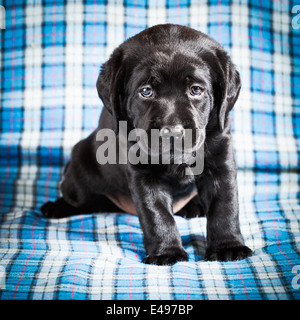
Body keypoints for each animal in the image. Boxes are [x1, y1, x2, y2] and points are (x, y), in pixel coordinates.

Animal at [41, 24, 252, 264]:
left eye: (196, 90)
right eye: (146, 91)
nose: (173, 132)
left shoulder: (220, 160)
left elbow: (224, 205)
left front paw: (228, 246)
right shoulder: (144, 174)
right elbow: (157, 214)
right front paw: (167, 253)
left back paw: (193, 206)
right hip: (80, 171)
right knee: (75, 196)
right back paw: (55, 207)